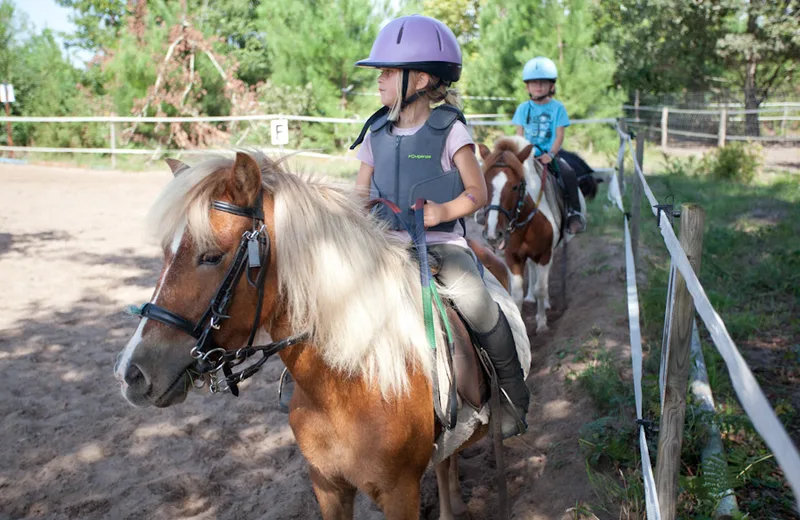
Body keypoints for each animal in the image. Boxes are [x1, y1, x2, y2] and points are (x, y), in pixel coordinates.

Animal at [109, 151, 528, 520]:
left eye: (211, 256)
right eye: (165, 254)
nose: (131, 373)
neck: (348, 383)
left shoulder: (400, 494)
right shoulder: (327, 486)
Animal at [476, 137, 588, 334]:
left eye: (514, 187)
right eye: (485, 183)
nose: (493, 234)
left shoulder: (544, 254)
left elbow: (541, 289)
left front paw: (542, 324)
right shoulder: (513, 257)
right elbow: (517, 295)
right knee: (531, 269)